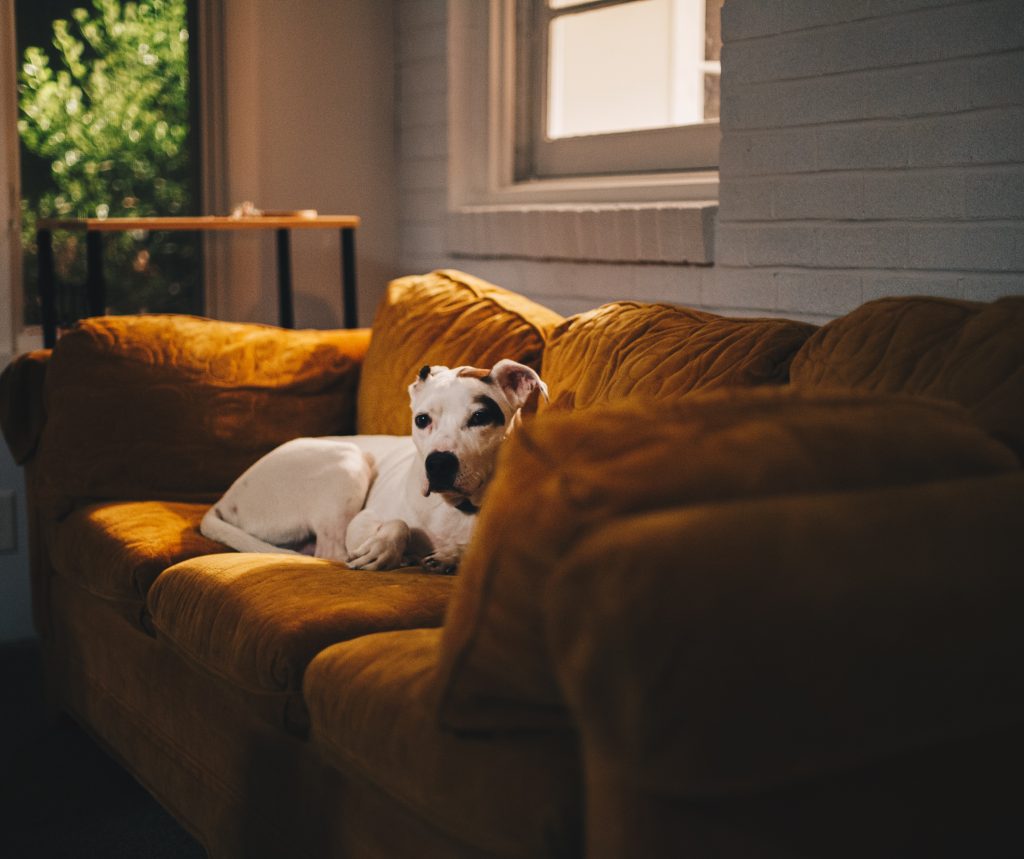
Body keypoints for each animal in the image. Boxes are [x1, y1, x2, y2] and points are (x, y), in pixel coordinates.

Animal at [202, 360, 548, 569]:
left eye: (479, 417)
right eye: (422, 420)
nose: (437, 463)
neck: (459, 508)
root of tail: (226, 498)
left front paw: (451, 556)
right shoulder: (362, 521)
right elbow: (398, 524)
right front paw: (383, 548)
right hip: (348, 463)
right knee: (332, 552)